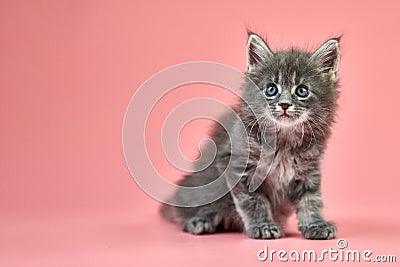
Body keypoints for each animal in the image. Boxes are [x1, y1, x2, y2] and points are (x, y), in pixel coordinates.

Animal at [160, 31, 340, 241]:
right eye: (271, 89)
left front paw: (315, 224)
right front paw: (263, 225)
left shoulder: (309, 170)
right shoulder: (239, 165)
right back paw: (198, 221)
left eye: (302, 91)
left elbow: (311, 200)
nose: (284, 104)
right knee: (183, 209)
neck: (283, 140)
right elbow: (253, 201)